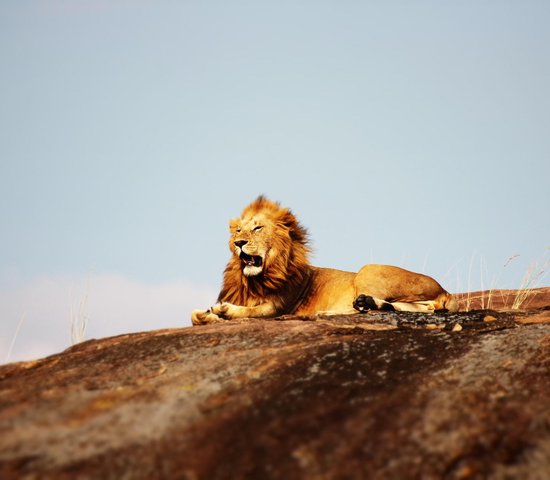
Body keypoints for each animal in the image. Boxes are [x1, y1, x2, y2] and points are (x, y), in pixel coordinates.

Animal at [192, 196, 460, 326]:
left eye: (258, 228)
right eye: (238, 231)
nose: (239, 243)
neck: (255, 280)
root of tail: (445, 290)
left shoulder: (278, 307)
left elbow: (249, 311)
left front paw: (223, 310)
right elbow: (194, 315)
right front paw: (208, 315)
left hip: (368, 270)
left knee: (426, 307)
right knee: (418, 308)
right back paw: (360, 305)